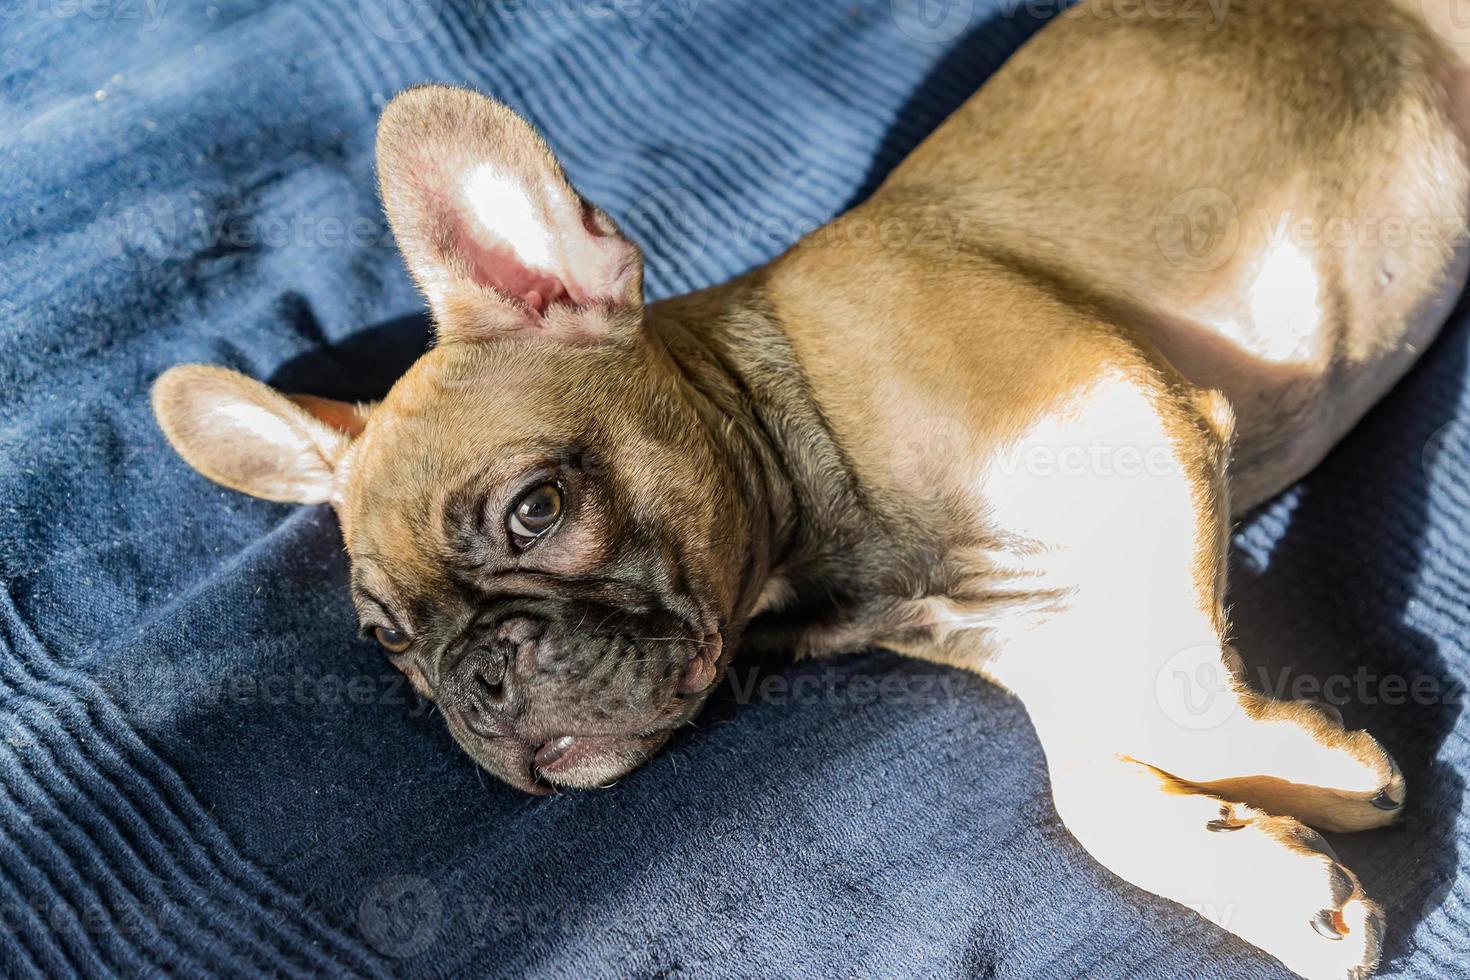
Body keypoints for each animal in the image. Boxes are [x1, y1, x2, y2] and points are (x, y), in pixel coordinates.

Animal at [149, 3, 1470, 975]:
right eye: (388, 642)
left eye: (535, 508)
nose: (477, 675)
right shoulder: (1042, 631)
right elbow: (1087, 779)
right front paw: (1255, 854)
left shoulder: (1123, 428)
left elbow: (1168, 694)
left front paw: (1298, 771)